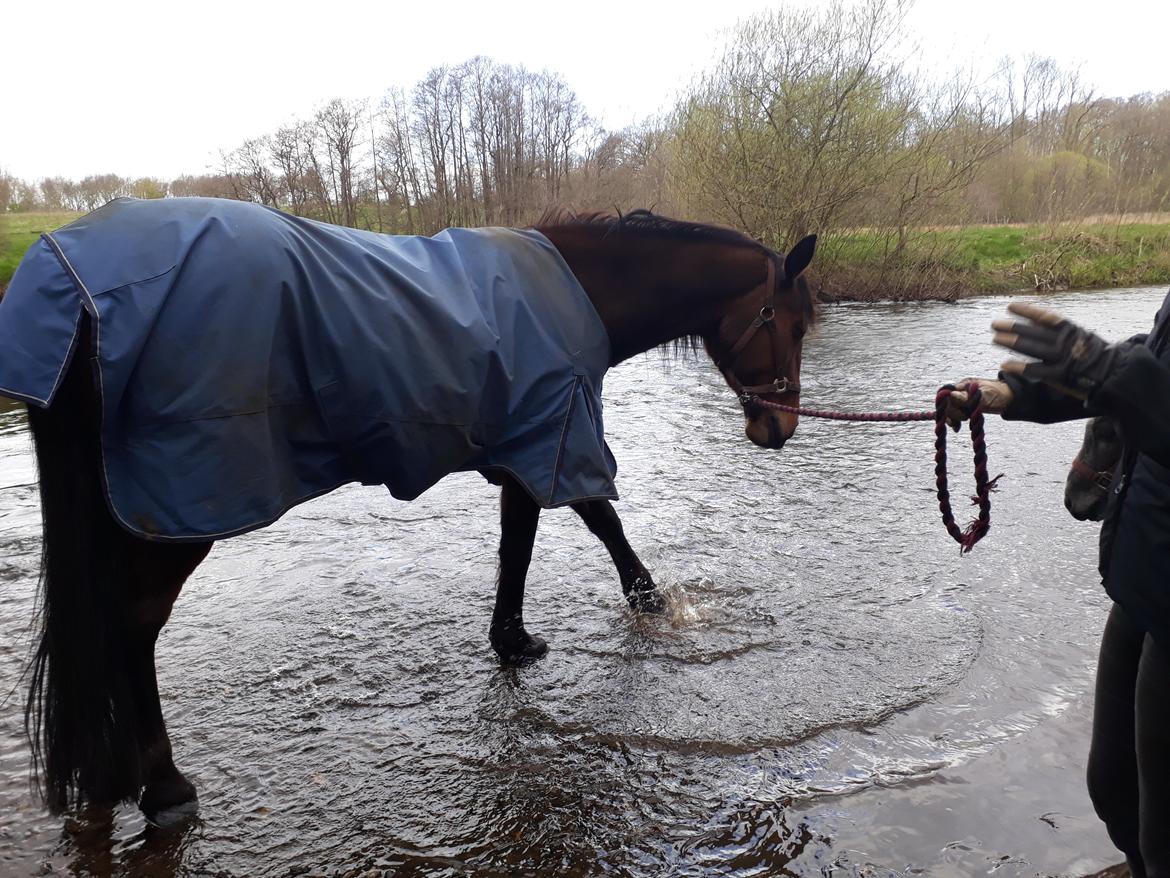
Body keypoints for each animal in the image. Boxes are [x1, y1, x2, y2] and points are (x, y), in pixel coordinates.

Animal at [22, 206, 819, 824]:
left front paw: (513, 640)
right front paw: (650, 603)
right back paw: (163, 788)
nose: (779, 428)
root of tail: (75, 288)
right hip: (173, 514)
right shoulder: (550, 438)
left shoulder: (519, 450)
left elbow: (518, 547)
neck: (575, 291)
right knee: (132, 627)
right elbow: (596, 525)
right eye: (791, 322)